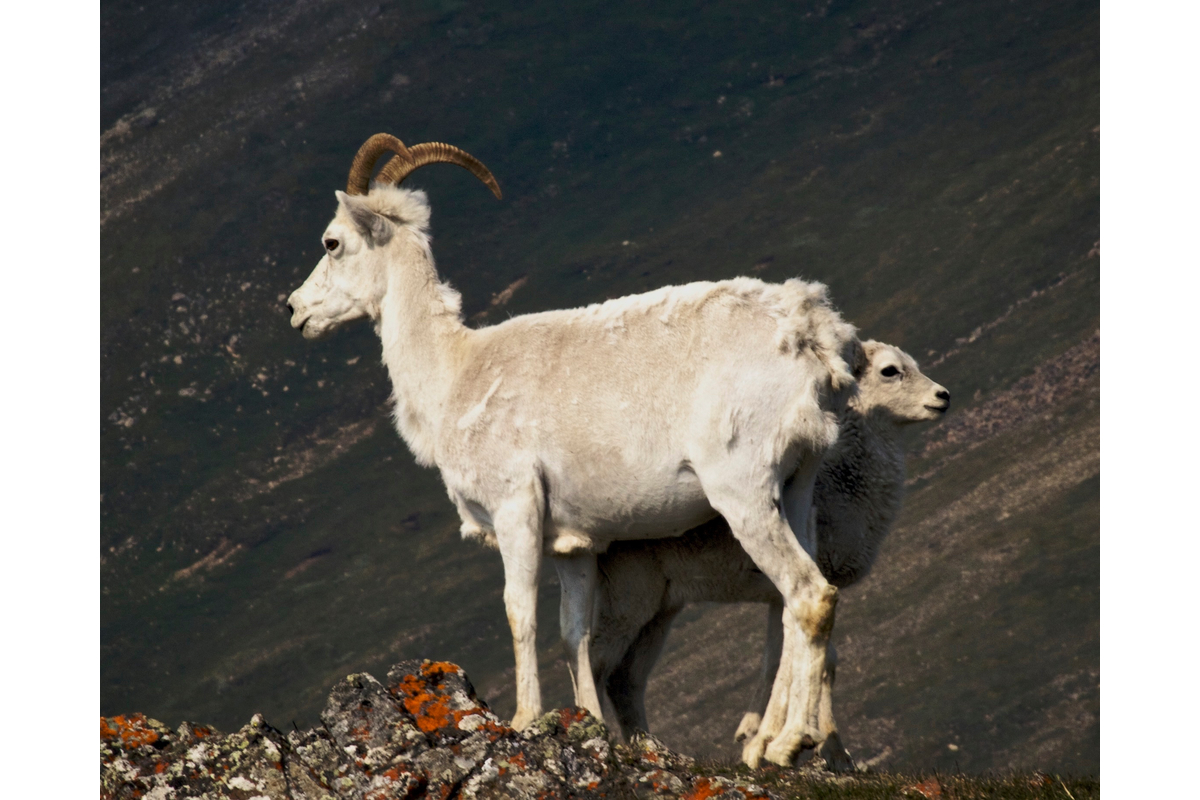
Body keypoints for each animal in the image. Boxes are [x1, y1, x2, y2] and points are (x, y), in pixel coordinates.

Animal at [286, 133, 862, 767]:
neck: (455, 373)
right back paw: (781, 741)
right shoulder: (574, 547)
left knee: (807, 596)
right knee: (798, 607)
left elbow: (519, 612)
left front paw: (524, 720)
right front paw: (590, 726)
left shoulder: (516, 512)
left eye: (332, 242)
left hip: (744, 495)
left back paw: (785, 746)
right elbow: (573, 635)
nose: (294, 310)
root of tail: (809, 332)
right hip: (797, 489)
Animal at [588, 341, 949, 771]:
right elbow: (803, 660)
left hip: (660, 611)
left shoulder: (784, 598)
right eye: (890, 371)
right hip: (628, 602)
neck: (845, 483)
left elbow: (796, 659)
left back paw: (653, 749)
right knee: (595, 662)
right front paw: (783, 745)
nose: (942, 397)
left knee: (625, 680)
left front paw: (783, 743)